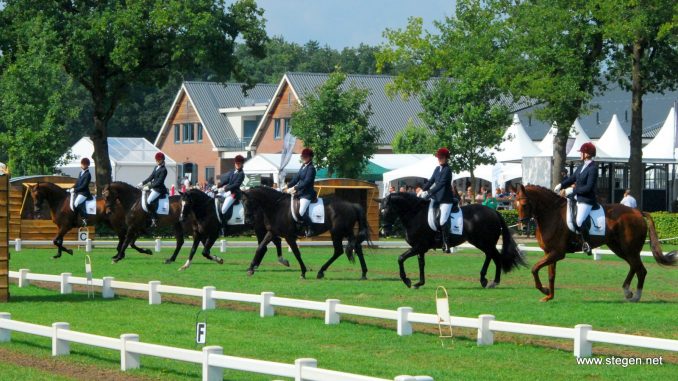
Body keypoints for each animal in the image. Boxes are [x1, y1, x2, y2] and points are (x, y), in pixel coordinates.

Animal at [243, 187, 374, 280]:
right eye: (242, 202)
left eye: (248, 202)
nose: (248, 221)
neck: (277, 207)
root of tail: (352, 205)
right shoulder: (272, 232)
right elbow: (260, 247)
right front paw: (250, 269)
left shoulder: (289, 236)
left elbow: (297, 253)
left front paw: (303, 272)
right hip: (345, 232)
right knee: (355, 247)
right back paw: (363, 273)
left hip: (338, 232)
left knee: (339, 250)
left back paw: (321, 272)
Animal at [380, 193, 528, 288]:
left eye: (386, 211)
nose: (384, 232)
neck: (416, 214)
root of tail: (494, 212)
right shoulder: (420, 248)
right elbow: (421, 264)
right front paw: (419, 283)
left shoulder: (419, 246)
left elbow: (400, 258)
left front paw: (407, 281)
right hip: (481, 242)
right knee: (490, 255)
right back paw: (484, 280)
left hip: (485, 242)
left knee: (495, 257)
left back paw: (493, 282)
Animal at [516, 183, 676, 302]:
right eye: (515, 204)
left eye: (524, 204)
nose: (522, 227)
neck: (552, 214)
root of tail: (637, 212)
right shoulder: (550, 252)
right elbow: (551, 275)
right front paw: (549, 295)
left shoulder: (557, 253)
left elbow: (534, 268)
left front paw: (544, 290)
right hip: (619, 248)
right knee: (634, 266)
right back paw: (627, 291)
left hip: (629, 249)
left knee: (640, 269)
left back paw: (636, 296)